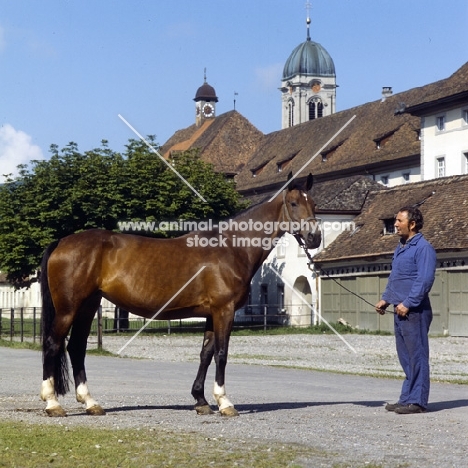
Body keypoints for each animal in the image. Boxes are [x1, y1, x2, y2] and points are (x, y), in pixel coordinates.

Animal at [40, 172, 322, 416]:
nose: (315, 237)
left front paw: (201, 400)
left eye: (314, 204)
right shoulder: (224, 310)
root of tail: (62, 242)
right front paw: (225, 402)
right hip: (68, 309)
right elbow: (221, 354)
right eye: (294, 203)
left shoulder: (211, 314)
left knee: (76, 347)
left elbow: (206, 354)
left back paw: (90, 403)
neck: (231, 247)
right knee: (53, 344)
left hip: (88, 306)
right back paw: (52, 403)